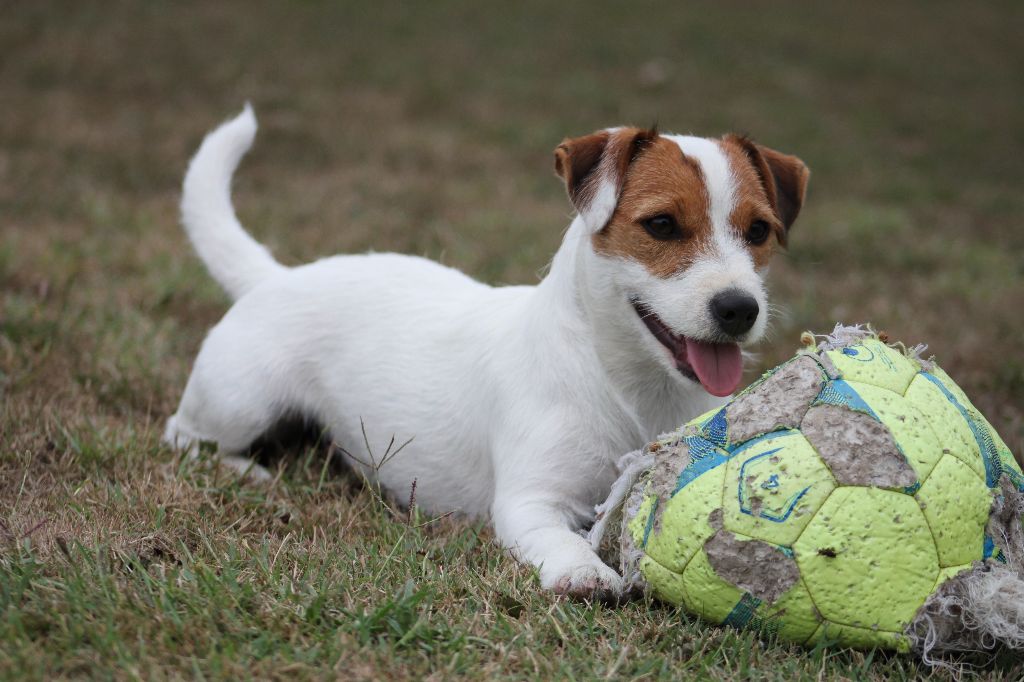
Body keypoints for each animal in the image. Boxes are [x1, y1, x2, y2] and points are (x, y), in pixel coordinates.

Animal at [165, 106, 806, 593]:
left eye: (758, 231)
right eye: (663, 225)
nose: (739, 308)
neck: (632, 389)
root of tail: (275, 275)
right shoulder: (530, 502)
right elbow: (559, 540)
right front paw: (584, 572)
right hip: (239, 400)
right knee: (185, 435)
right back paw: (244, 470)